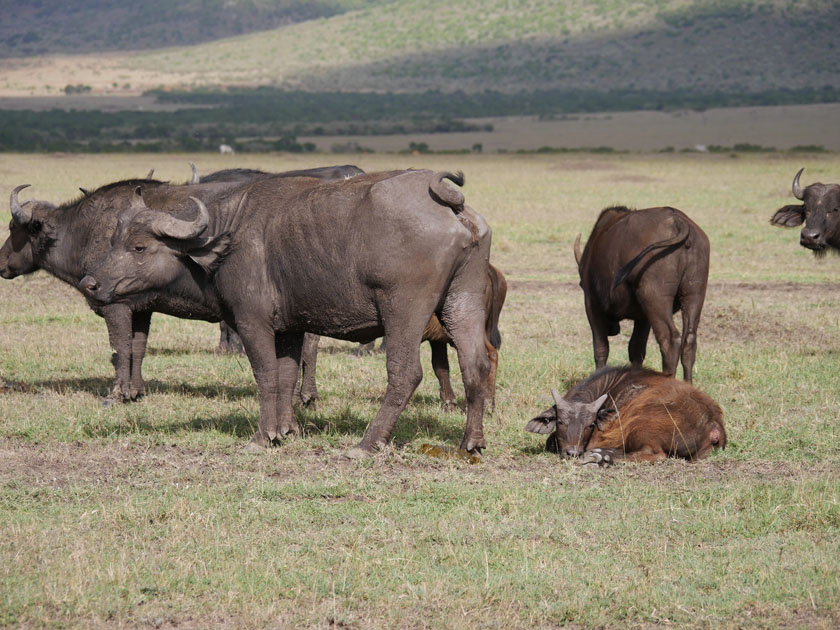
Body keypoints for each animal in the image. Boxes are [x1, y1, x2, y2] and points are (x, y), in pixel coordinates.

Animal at [79, 170, 492, 460]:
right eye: (113, 241)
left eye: (139, 247)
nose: (91, 283)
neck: (225, 237)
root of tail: (451, 205)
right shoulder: (291, 329)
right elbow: (287, 376)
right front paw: (287, 430)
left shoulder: (252, 323)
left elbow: (265, 376)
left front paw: (264, 436)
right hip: (462, 305)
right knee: (476, 365)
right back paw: (471, 442)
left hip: (402, 311)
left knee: (405, 374)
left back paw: (366, 443)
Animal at [520, 368, 724, 466]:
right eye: (561, 422)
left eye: (590, 424)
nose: (573, 453)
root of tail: (714, 423)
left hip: (640, 425)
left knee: (655, 454)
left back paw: (602, 457)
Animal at [572, 207, 708, 386]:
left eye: (581, 285)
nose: (612, 329)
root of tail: (677, 221)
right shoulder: (643, 318)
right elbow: (636, 349)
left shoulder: (592, 305)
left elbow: (600, 347)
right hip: (694, 294)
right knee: (689, 340)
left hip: (656, 299)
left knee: (670, 340)